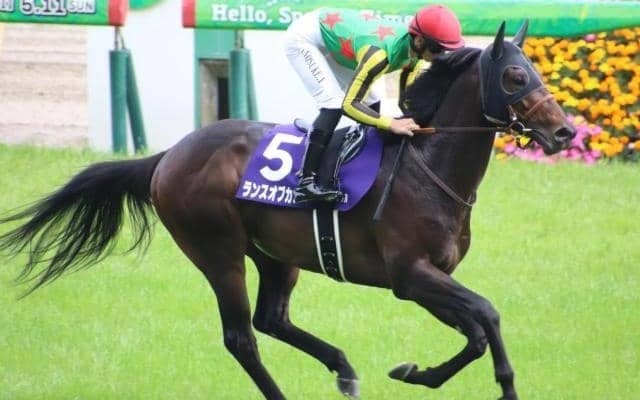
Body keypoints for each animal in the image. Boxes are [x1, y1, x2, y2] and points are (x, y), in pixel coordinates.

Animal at [0, 21, 574, 400]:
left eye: (534, 70)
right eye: (515, 77)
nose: (566, 131)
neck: (426, 165)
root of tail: (168, 156)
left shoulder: (425, 279)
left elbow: (476, 331)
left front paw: (415, 372)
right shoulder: (410, 274)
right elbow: (487, 315)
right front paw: (496, 385)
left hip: (277, 255)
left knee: (271, 318)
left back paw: (343, 368)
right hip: (217, 251)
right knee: (242, 337)